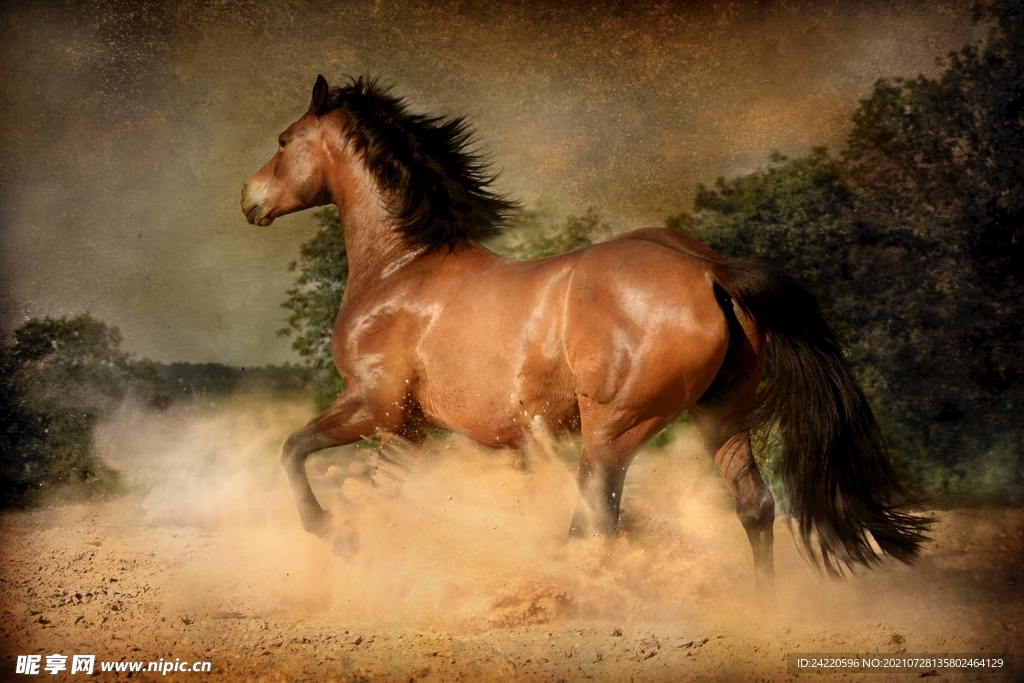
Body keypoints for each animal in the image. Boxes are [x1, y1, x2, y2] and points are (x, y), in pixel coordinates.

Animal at [241, 74, 929, 589]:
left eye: (284, 139)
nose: (249, 199)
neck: (402, 267)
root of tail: (708, 269)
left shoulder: (374, 404)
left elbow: (293, 450)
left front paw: (333, 535)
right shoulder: (408, 428)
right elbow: (385, 492)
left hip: (615, 428)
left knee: (595, 519)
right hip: (720, 413)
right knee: (755, 508)